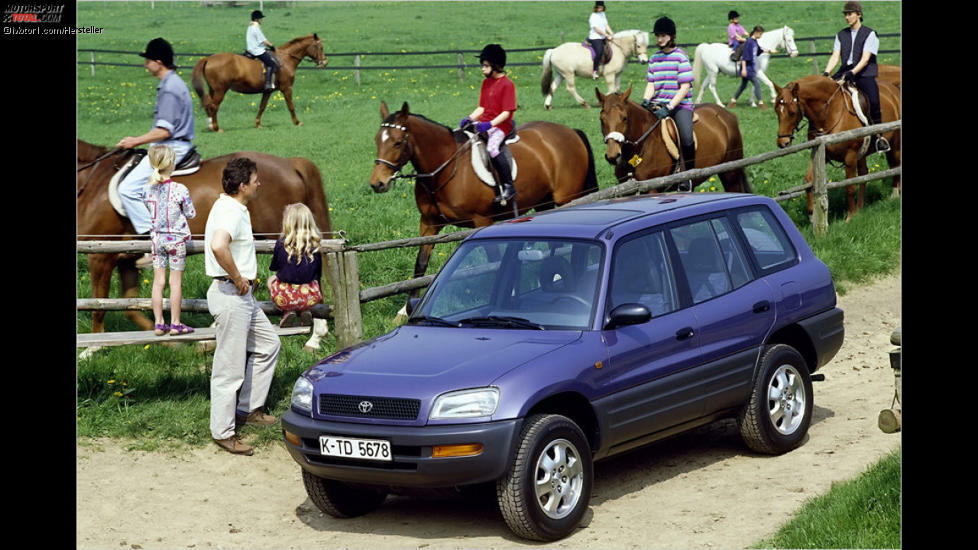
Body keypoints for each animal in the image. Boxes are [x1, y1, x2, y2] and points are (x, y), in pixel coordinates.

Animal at [78, 138, 330, 342]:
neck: (92, 181)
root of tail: (290, 163)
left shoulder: (99, 255)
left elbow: (98, 305)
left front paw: (93, 349)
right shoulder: (125, 260)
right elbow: (130, 306)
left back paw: (315, 336)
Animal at [191, 34, 328, 134]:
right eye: (320, 47)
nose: (325, 63)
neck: (285, 60)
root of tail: (208, 58)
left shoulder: (267, 91)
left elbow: (262, 107)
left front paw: (257, 124)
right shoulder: (287, 88)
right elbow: (291, 106)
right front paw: (297, 122)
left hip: (213, 90)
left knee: (208, 104)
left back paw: (210, 126)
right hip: (220, 90)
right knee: (214, 106)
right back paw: (216, 128)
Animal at [366, 101, 596, 322]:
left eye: (397, 142)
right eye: (377, 140)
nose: (378, 183)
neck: (445, 168)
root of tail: (570, 131)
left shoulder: (481, 221)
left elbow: (494, 260)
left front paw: (507, 295)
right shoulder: (429, 223)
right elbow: (420, 263)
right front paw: (405, 310)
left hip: (568, 198)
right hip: (544, 203)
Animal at [596, 84, 748, 192]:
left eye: (624, 118)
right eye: (601, 119)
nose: (612, 156)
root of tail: (728, 115)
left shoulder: (653, 189)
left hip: (731, 173)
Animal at [772, 73, 904, 220]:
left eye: (792, 112)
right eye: (777, 110)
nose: (782, 142)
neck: (829, 114)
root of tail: (894, 89)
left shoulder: (850, 156)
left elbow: (850, 185)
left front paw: (850, 216)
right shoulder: (820, 153)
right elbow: (809, 181)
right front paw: (812, 215)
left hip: (895, 144)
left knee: (896, 165)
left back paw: (894, 194)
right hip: (863, 153)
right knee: (865, 173)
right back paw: (861, 206)